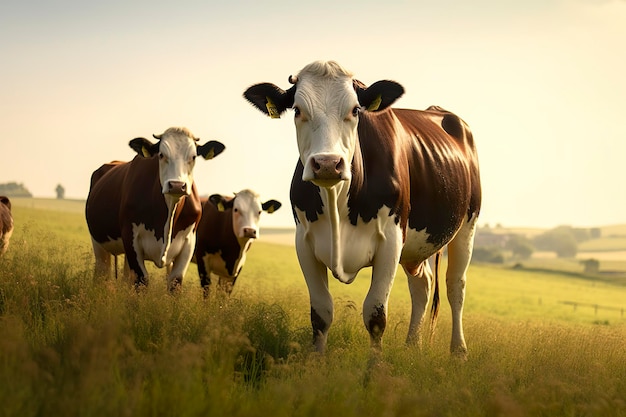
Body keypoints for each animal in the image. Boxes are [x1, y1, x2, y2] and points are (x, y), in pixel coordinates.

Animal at [85, 125, 224, 290]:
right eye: (161, 155)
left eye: (194, 157)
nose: (177, 185)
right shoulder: (130, 237)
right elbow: (141, 280)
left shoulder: (189, 242)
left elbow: (175, 282)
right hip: (98, 241)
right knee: (102, 271)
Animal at [241, 60, 480, 356]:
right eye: (297, 110)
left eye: (355, 110)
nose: (328, 163)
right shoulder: (303, 242)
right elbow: (321, 312)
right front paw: (315, 361)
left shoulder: (391, 240)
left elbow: (376, 315)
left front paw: (374, 367)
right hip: (416, 247)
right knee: (422, 283)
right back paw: (412, 346)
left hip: (467, 225)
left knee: (455, 286)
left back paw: (458, 351)